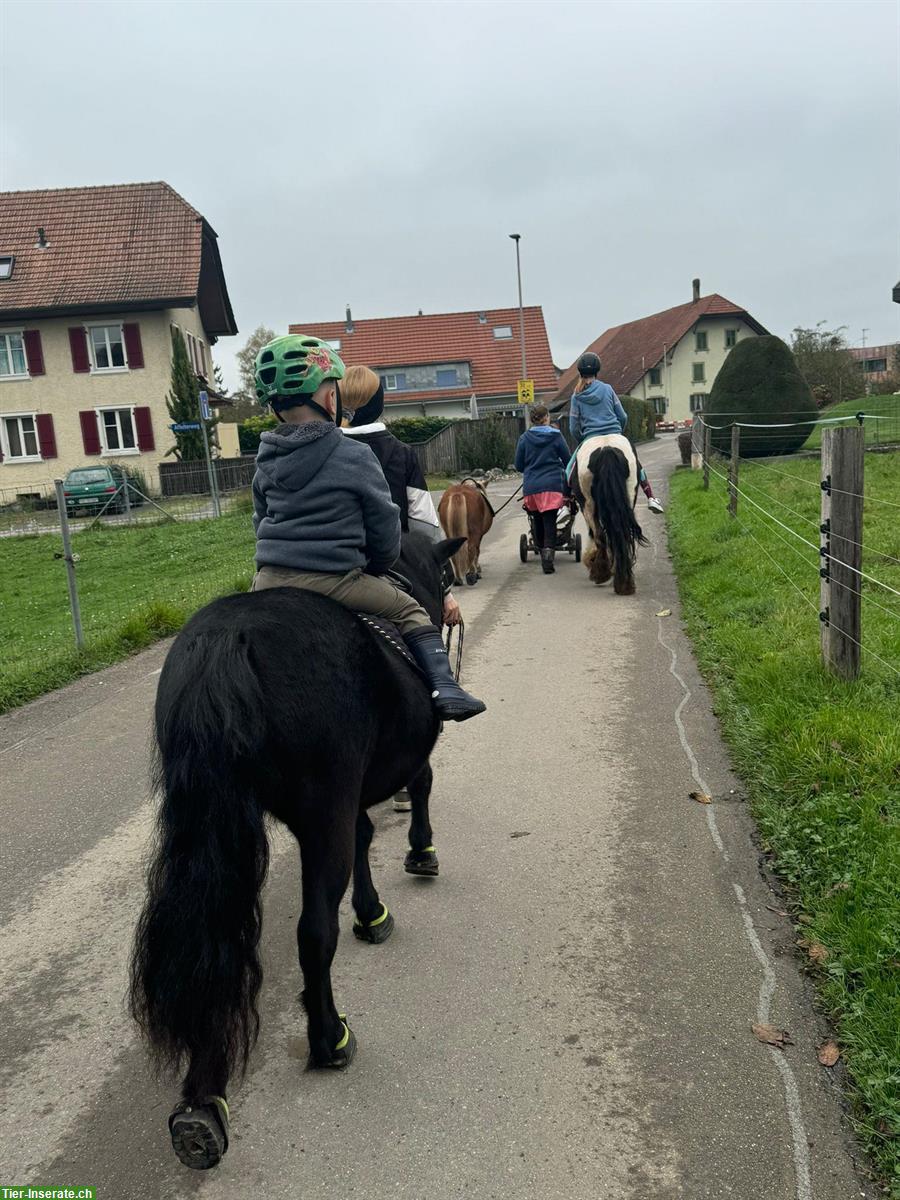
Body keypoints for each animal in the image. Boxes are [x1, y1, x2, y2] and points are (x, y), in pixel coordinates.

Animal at [132, 532, 465, 1161]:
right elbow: (420, 788)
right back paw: (329, 1037)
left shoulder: (346, 800)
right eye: (447, 576)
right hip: (319, 811)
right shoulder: (367, 784)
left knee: (208, 945)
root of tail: (227, 642)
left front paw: (371, 911)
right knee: (314, 933)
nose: (451, 606)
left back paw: (202, 1103)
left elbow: (363, 838)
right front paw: (420, 855)